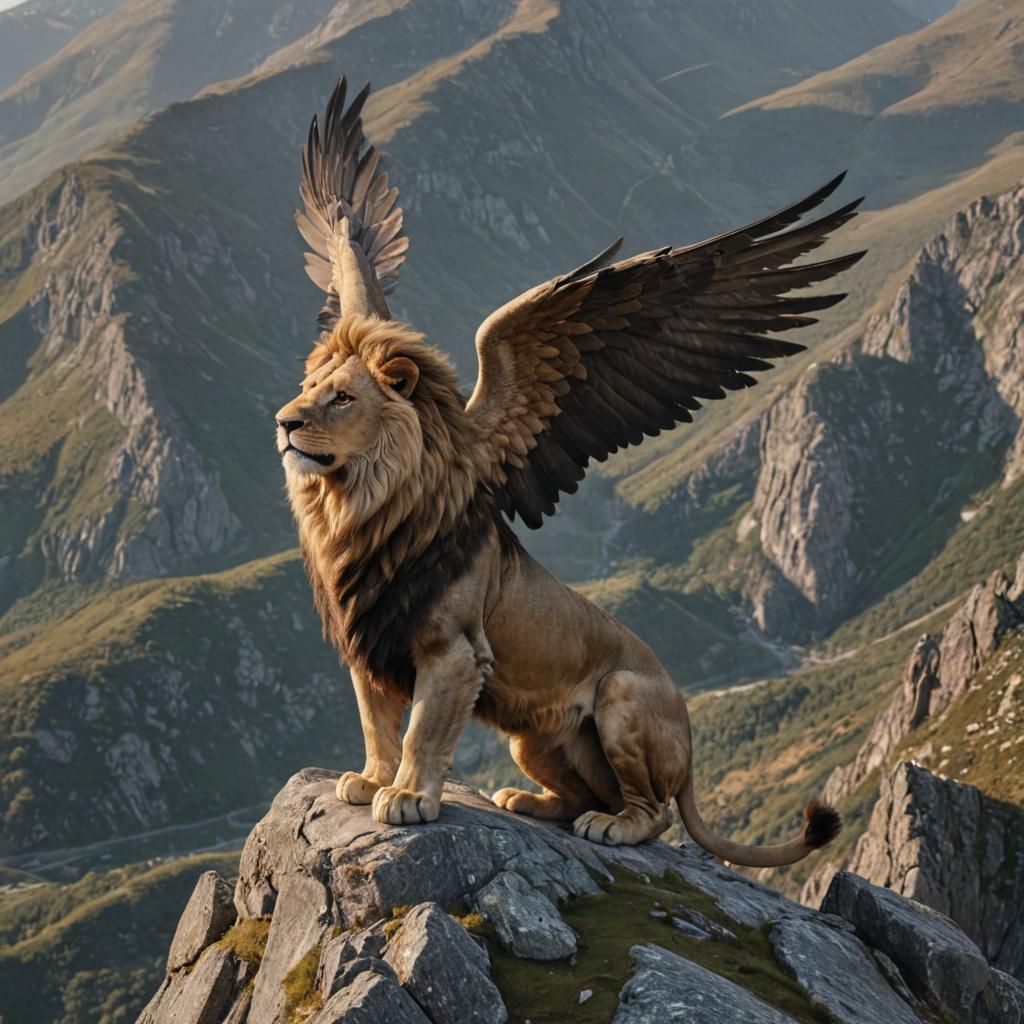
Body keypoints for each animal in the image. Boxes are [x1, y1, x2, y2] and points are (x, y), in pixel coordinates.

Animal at [275, 78, 861, 863]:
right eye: (311, 386)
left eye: (341, 398)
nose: (285, 421)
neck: (354, 505)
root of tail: (692, 761)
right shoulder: (370, 640)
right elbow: (377, 723)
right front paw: (369, 780)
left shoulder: (452, 651)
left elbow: (423, 731)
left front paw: (405, 798)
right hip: (530, 737)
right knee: (581, 792)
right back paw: (528, 801)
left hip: (622, 701)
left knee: (653, 815)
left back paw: (610, 826)